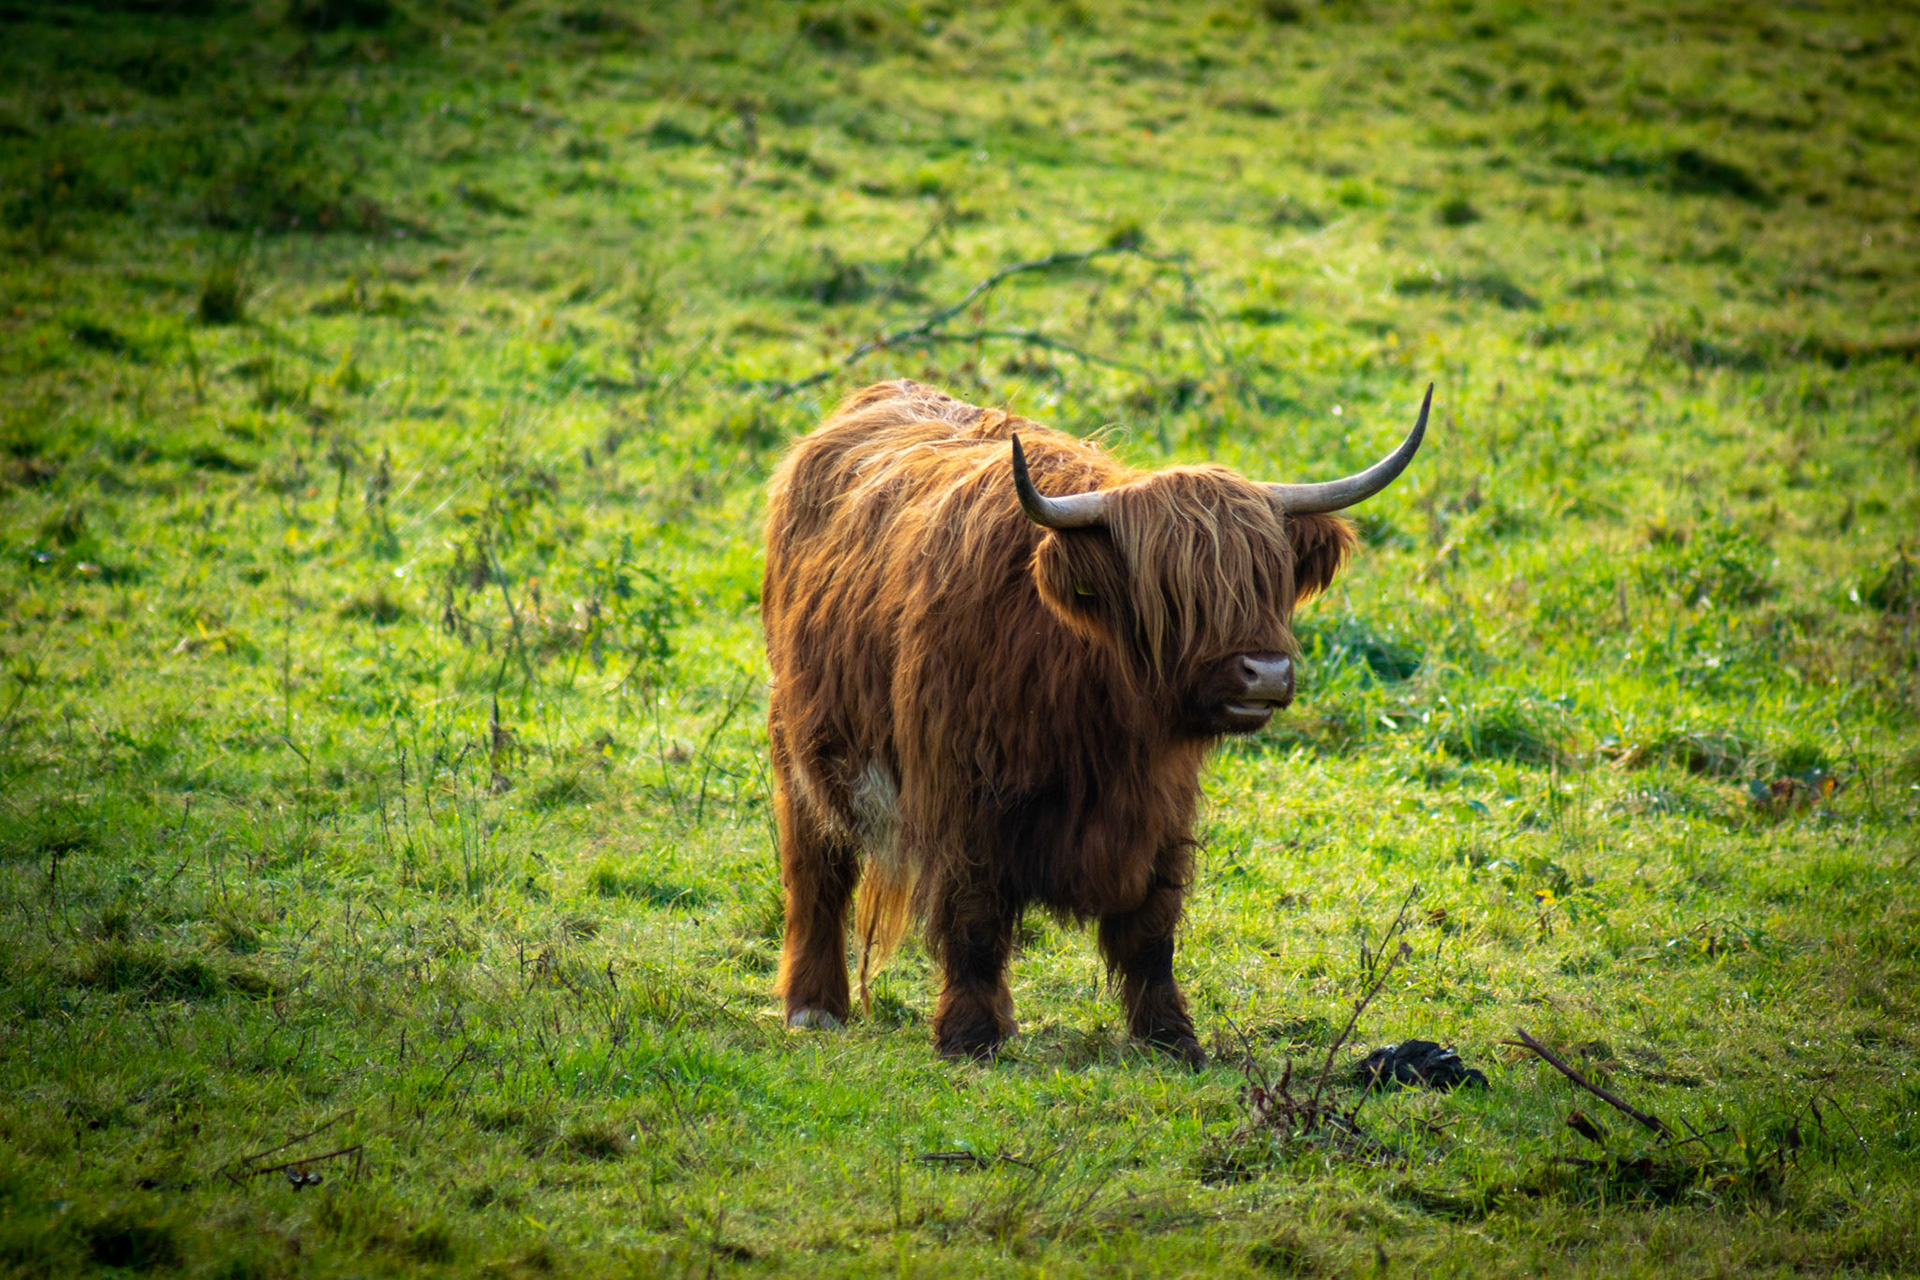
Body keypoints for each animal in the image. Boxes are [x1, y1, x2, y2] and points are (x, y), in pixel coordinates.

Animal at [762, 379, 1429, 1065]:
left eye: (1271, 578)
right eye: (1173, 593)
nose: (1265, 674)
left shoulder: (1162, 808)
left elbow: (1151, 928)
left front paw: (1170, 1037)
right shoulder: (962, 796)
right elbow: (974, 919)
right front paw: (971, 1035)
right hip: (804, 744)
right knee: (816, 869)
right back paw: (815, 1006)